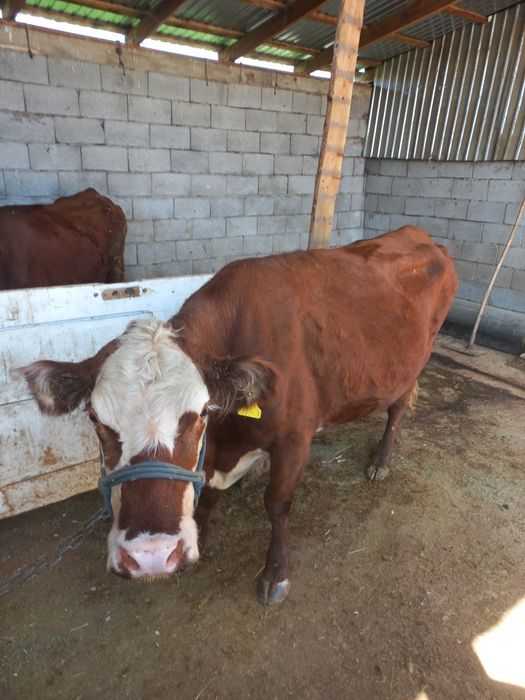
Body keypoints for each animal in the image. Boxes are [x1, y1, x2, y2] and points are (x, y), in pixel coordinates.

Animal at [19, 227, 458, 604]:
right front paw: (201, 538)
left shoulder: (294, 436)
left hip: (416, 358)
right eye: (95, 419)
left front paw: (276, 572)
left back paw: (381, 460)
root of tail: (419, 235)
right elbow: (209, 495)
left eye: (199, 413)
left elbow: (277, 503)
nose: (150, 556)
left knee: (397, 408)